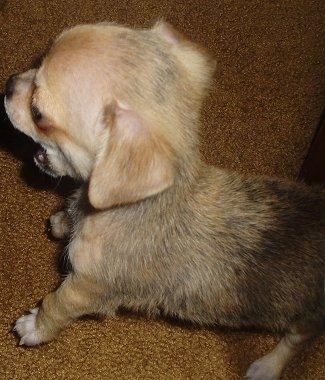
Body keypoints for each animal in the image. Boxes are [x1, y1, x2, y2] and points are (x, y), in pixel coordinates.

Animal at [3, 21, 324, 380]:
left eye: (38, 113)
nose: (9, 82)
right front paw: (63, 221)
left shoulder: (85, 288)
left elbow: (55, 305)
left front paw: (34, 326)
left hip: (306, 317)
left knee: (299, 338)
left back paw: (268, 365)